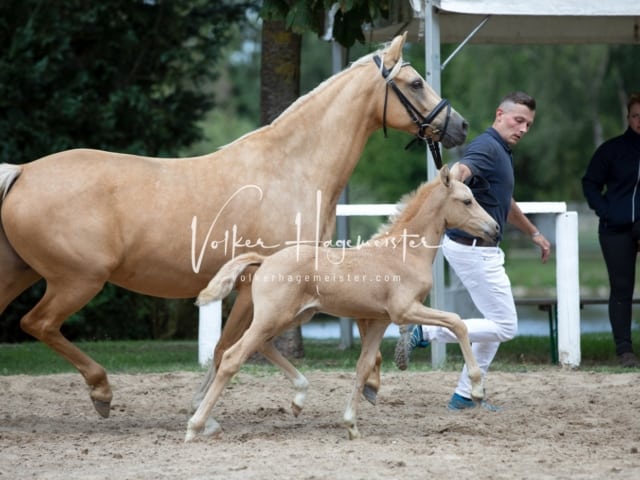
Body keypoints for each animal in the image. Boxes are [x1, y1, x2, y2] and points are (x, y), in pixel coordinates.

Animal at [185, 166, 500, 442]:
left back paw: (298, 398)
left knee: (262, 346)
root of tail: (264, 260)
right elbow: (457, 322)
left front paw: (351, 425)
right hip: (272, 318)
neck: (404, 252)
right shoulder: (404, 311)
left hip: (291, 317)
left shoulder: (380, 320)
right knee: (231, 357)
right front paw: (477, 389)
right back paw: (196, 426)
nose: (495, 229)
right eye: (467, 200)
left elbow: (364, 366)